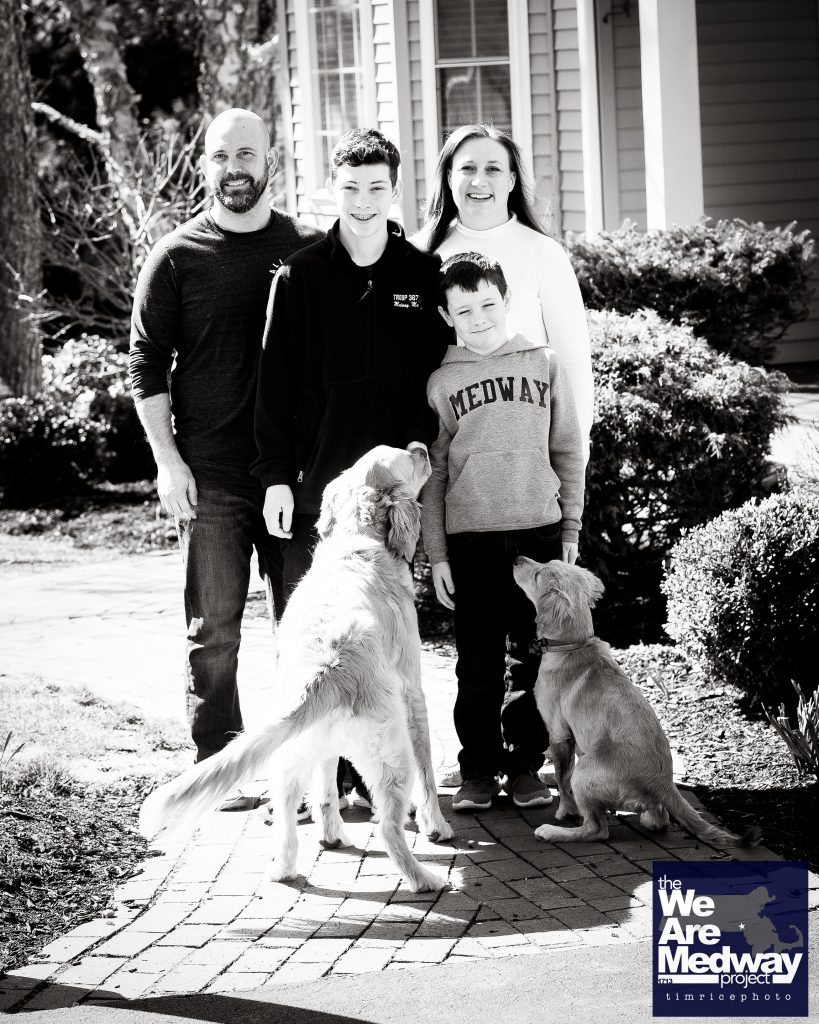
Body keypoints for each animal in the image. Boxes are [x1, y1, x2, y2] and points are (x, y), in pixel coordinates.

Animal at [140, 445, 453, 892]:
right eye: (405, 459)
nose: (422, 448)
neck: (356, 541)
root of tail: (325, 668)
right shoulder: (413, 692)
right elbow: (428, 771)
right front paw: (437, 825)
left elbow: (325, 788)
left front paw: (330, 831)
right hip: (393, 756)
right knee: (388, 827)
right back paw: (425, 878)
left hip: (291, 753)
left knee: (288, 808)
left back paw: (291, 862)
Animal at [512, 557, 760, 849]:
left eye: (538, 573)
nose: (517, 559)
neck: (573, 646)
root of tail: (664, 783)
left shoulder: (558, 733)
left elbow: (562, 780)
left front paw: (565, 812)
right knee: (659, 820)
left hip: (584, 772)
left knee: (596, 829)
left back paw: (552, 831)